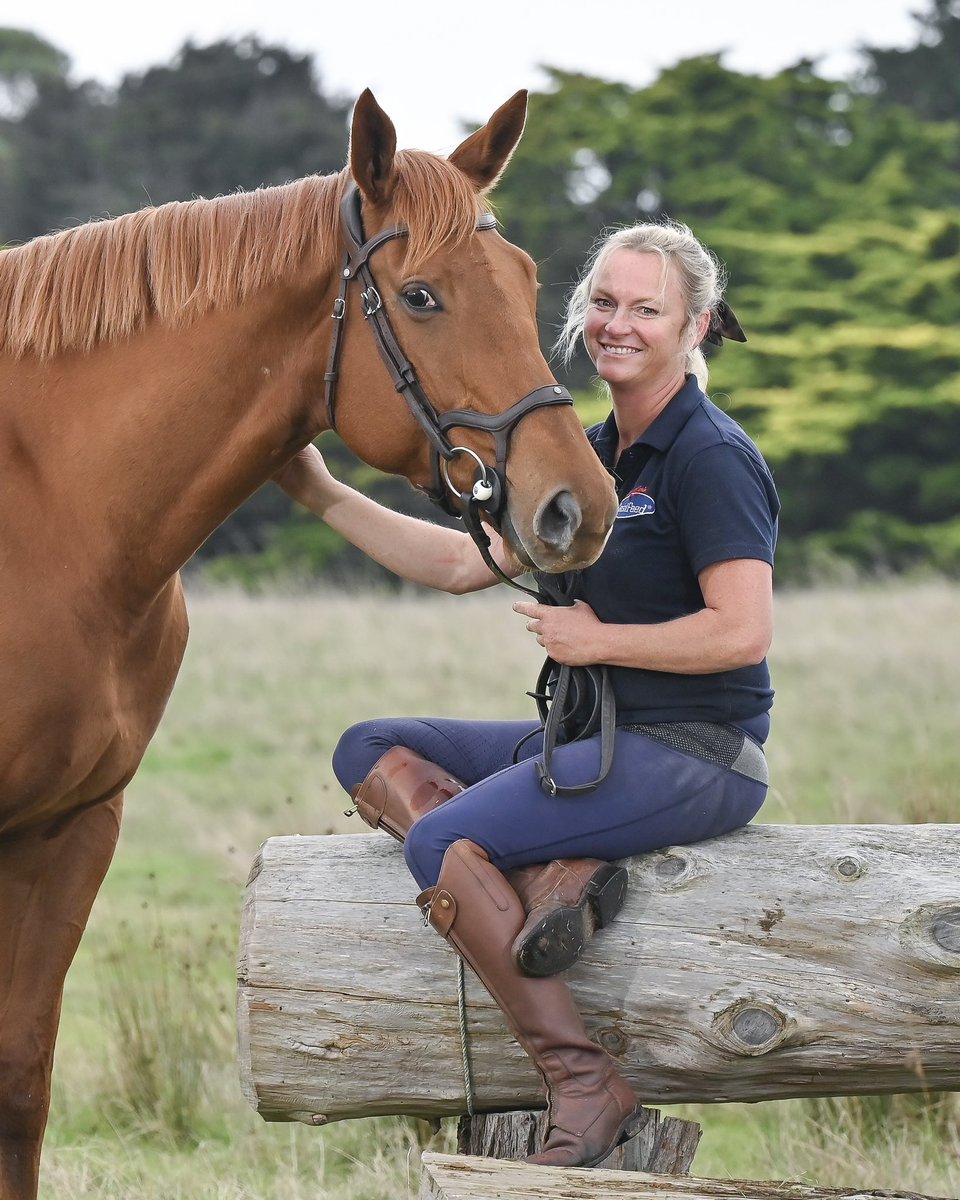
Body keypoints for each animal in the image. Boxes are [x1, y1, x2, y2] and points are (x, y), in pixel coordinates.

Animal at [0, 88, 618, 1197]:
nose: (574, 506)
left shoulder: (72, 830)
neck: (47, 514)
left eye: (524, 279)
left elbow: (20, 1078)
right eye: (420, 297)